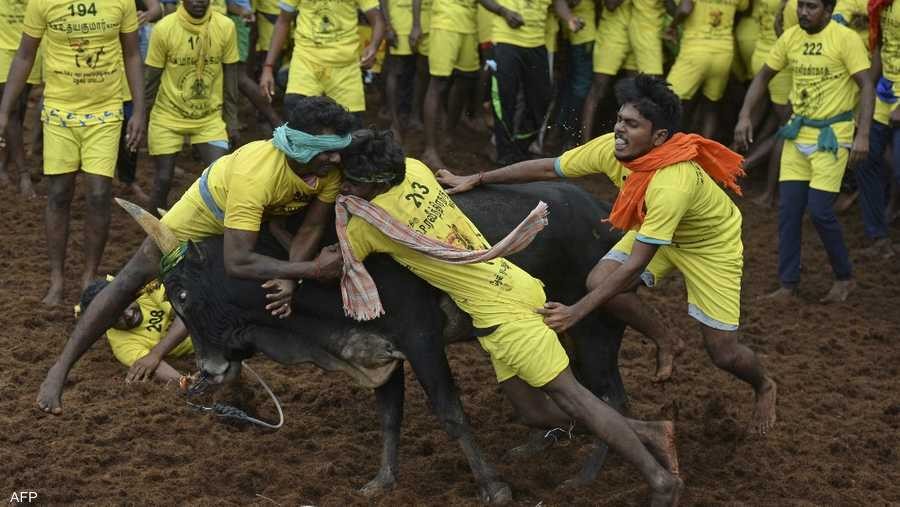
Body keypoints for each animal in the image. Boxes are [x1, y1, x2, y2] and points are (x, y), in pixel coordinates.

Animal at [162, 182, 624, 500]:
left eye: (182, 295)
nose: (207, 370)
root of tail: (601, 210)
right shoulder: (380, 354)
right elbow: (389, 417)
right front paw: (382, 481)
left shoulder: (422, 341)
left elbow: (451, 414)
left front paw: (493, 486)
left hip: (593, 326)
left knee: (609, 397)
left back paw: (586, 476)